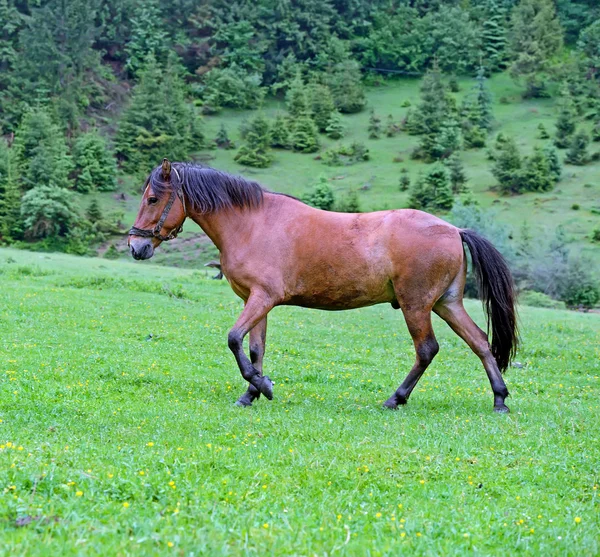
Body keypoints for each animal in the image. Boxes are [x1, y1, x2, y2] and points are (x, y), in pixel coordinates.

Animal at [129, 159, 516, 410]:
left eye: (152, 199)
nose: (136, 246)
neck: (252, 223)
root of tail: (454, 229)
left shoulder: (262, 298)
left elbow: (233, 339)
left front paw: (263, 385)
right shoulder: (256, 302)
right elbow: (254, 350)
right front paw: (251, 393)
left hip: (416, 305)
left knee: (427, 350)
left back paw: (396, 398)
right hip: (446, 303)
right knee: (480, 342)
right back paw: (499, 398)